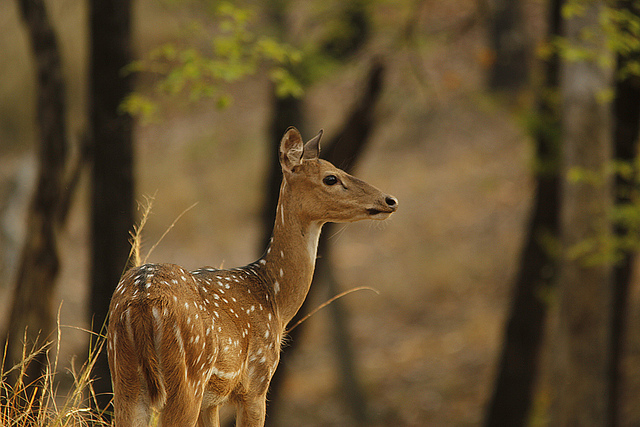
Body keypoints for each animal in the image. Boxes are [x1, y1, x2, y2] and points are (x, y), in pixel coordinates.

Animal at [106, 127, 398, 426]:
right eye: (331, 178)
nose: (389, 200)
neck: (275, 300)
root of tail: (143, 302)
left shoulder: (212, 401)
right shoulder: (257, 383)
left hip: (124, 377)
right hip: (188, 378)